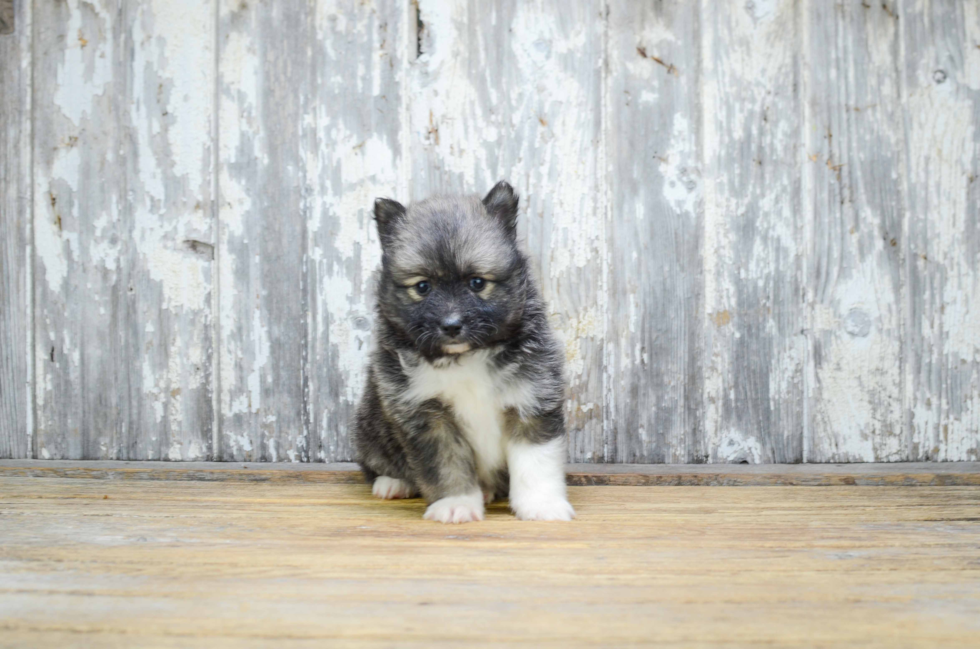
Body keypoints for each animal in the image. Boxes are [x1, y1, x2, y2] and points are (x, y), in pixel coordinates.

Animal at [350, 181, 572, 520]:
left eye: (477, 283)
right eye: (423, 287)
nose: (452, 325)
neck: (466, 357)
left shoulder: (531, 400)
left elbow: (536, 464)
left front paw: (542, 505)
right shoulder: (427, 417)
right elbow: (446, 465)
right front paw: (456, 504)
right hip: (369, 429)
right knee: (376, 465)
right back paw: (392, 483)